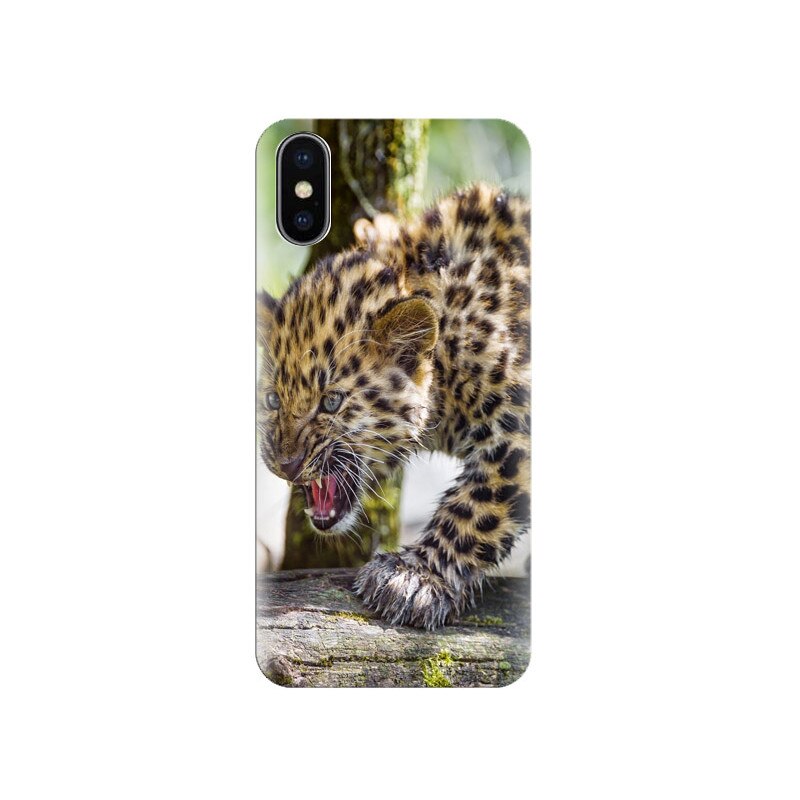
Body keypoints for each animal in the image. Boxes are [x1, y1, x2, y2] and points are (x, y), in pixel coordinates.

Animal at [257, 182, 530, 630]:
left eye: (331, 401)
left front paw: (414, 577)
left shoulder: (519, 430)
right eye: (271, 399)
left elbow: (478, 506)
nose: (286, 465)